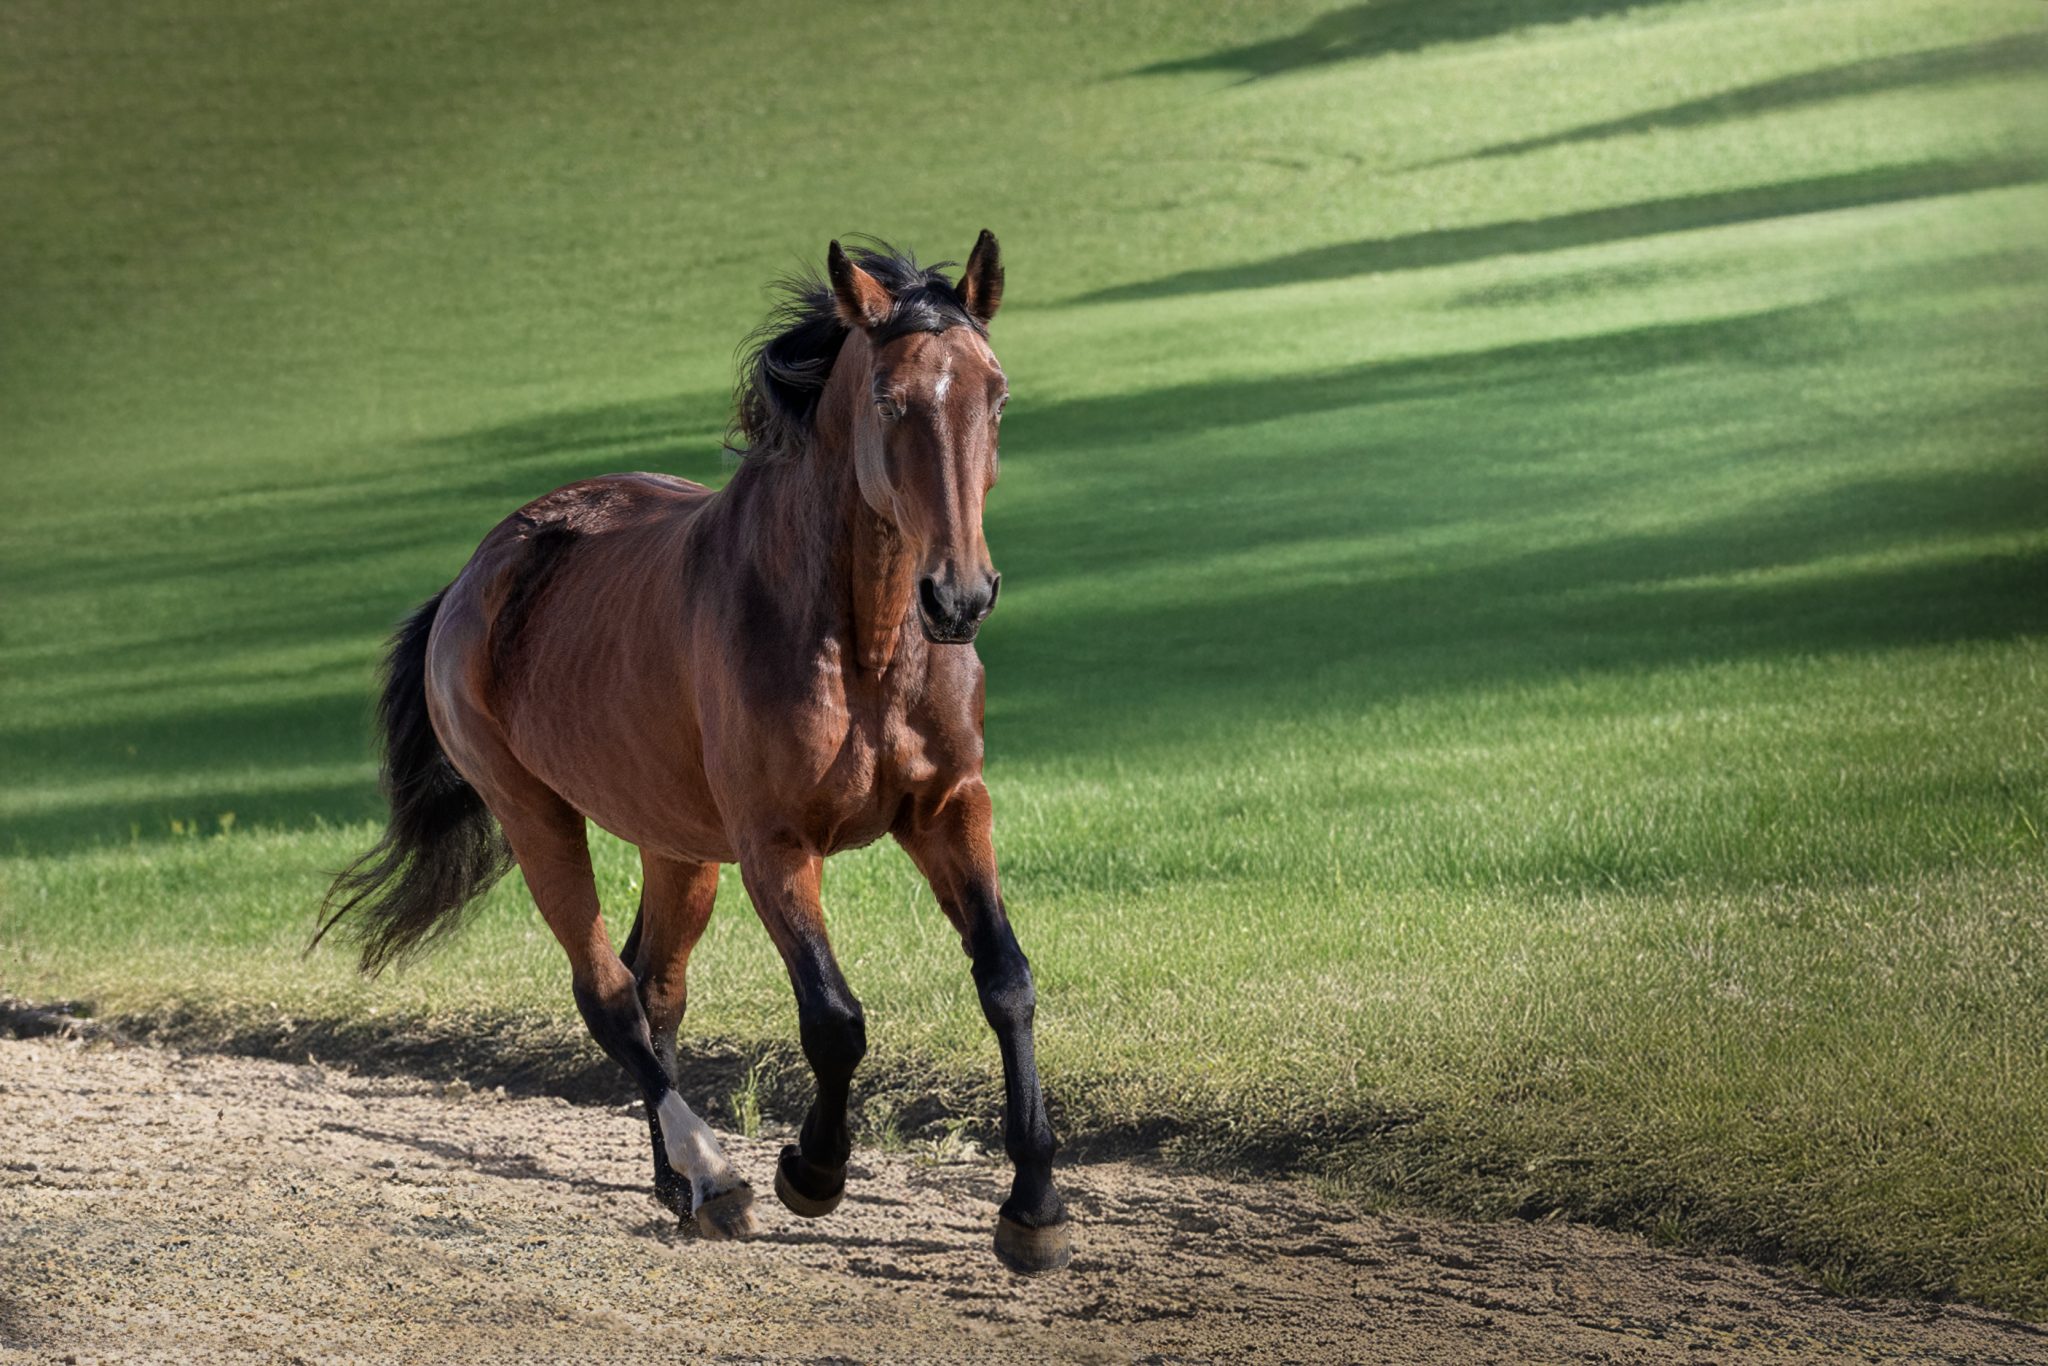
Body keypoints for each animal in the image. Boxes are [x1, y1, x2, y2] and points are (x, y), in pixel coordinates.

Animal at [316, 233, 1072, 1274]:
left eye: (994, 395)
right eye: (890, 400)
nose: (960, 597)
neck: (863, 643)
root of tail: (478, 572)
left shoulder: (950, 807)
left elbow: (1007, 982)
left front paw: (1033, 1208)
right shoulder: (773, 846)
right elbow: (834, 1019)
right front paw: (811, 1169)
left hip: (676, 843)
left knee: (654, 986)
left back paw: (676, 1183)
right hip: (537, 817)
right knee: (609, 994)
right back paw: (715, 1177)